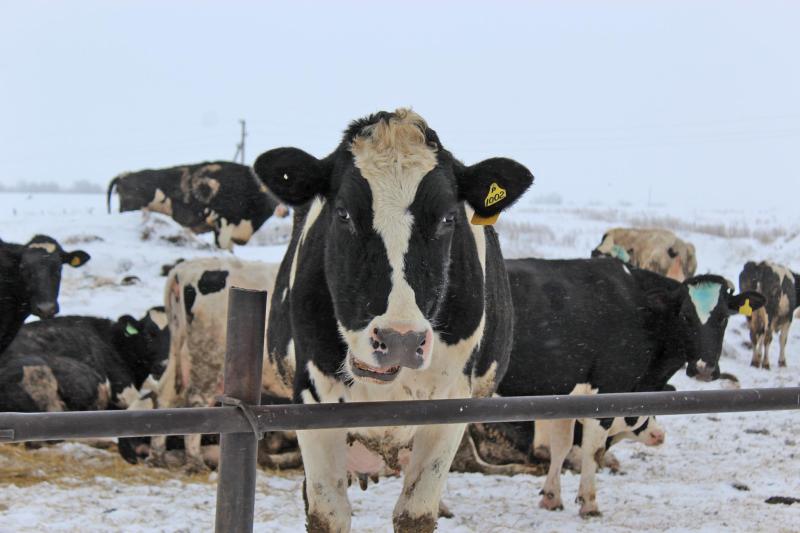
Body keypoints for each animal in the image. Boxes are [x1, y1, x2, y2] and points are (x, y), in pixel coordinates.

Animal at [144, 256, 282, 470]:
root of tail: (183, 269)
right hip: (208, 358)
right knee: (196, 402)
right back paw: (195, 463)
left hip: (180, 351)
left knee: (165, 394)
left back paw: (156, 458)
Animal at [253, 108, 536, 532]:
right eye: (343, 213)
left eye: (448, 218)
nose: (399, 339)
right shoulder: (312, 399)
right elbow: (327, 513)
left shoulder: (452, 406)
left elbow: (415, 513)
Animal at [504, 258, 764, 516]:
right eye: (685, 316)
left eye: (723, 317)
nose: (704, 369)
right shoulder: (609, 388)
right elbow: (594, 448)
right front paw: (589, 503)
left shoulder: (565, 391)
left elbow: (561, 444)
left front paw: (552, 498)